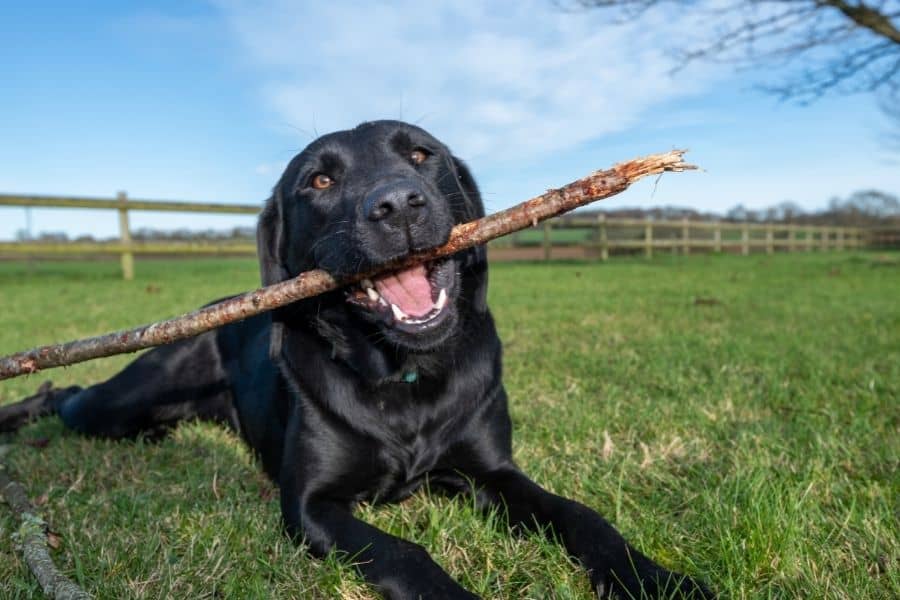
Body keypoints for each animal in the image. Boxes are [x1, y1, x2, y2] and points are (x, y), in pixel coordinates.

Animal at [0, 122, 712, 600]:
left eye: (423, 155)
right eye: (320, 179)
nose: (397, 204)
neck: (402, 375)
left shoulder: (494, 473)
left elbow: (584, 517)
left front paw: (660, 580)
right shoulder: (312, 507)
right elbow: (406, 554)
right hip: (121, 402)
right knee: (66, 394)